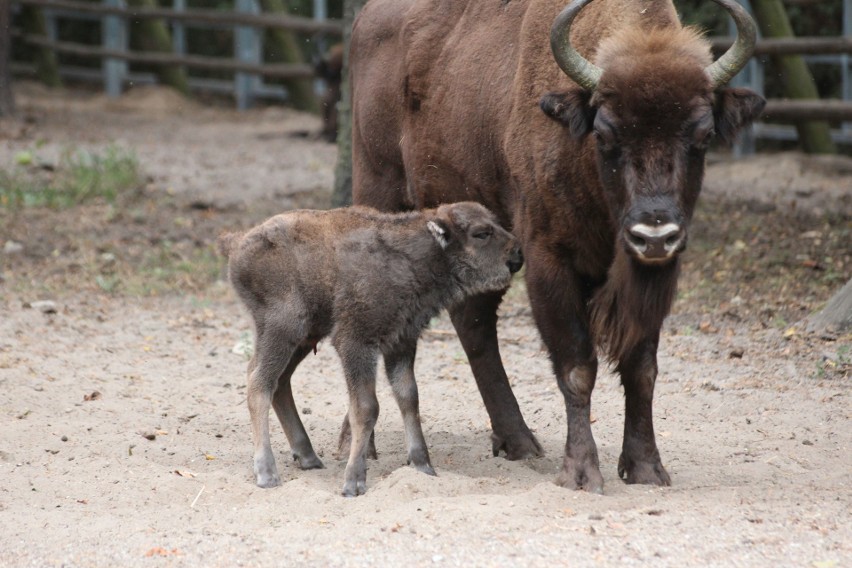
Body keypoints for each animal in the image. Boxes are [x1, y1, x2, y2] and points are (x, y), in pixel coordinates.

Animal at [216, 202, 524, 494]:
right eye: (481, 233)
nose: (517, 255)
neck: (418, 254)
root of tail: (238, 242)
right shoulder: (356, 342)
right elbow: (366, 408)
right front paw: (354, 481)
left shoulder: (402, 343)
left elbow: (409, 398)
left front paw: (423, 465)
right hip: (283, 329)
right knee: (259, 383)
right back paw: (267, 473)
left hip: (303, 338)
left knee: (279, 383)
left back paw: (308, 457)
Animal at [350, 0, 764, 492]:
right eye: (605, 134)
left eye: (702, 136)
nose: (653, 234)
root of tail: (366, 19)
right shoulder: (549, 261)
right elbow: (577, 367)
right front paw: (580, 473)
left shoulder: (655, 277)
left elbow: (642, 367)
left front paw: (645, 468)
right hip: (378, 186)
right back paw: (367, 446)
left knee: (475, 324)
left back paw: (518, 442)